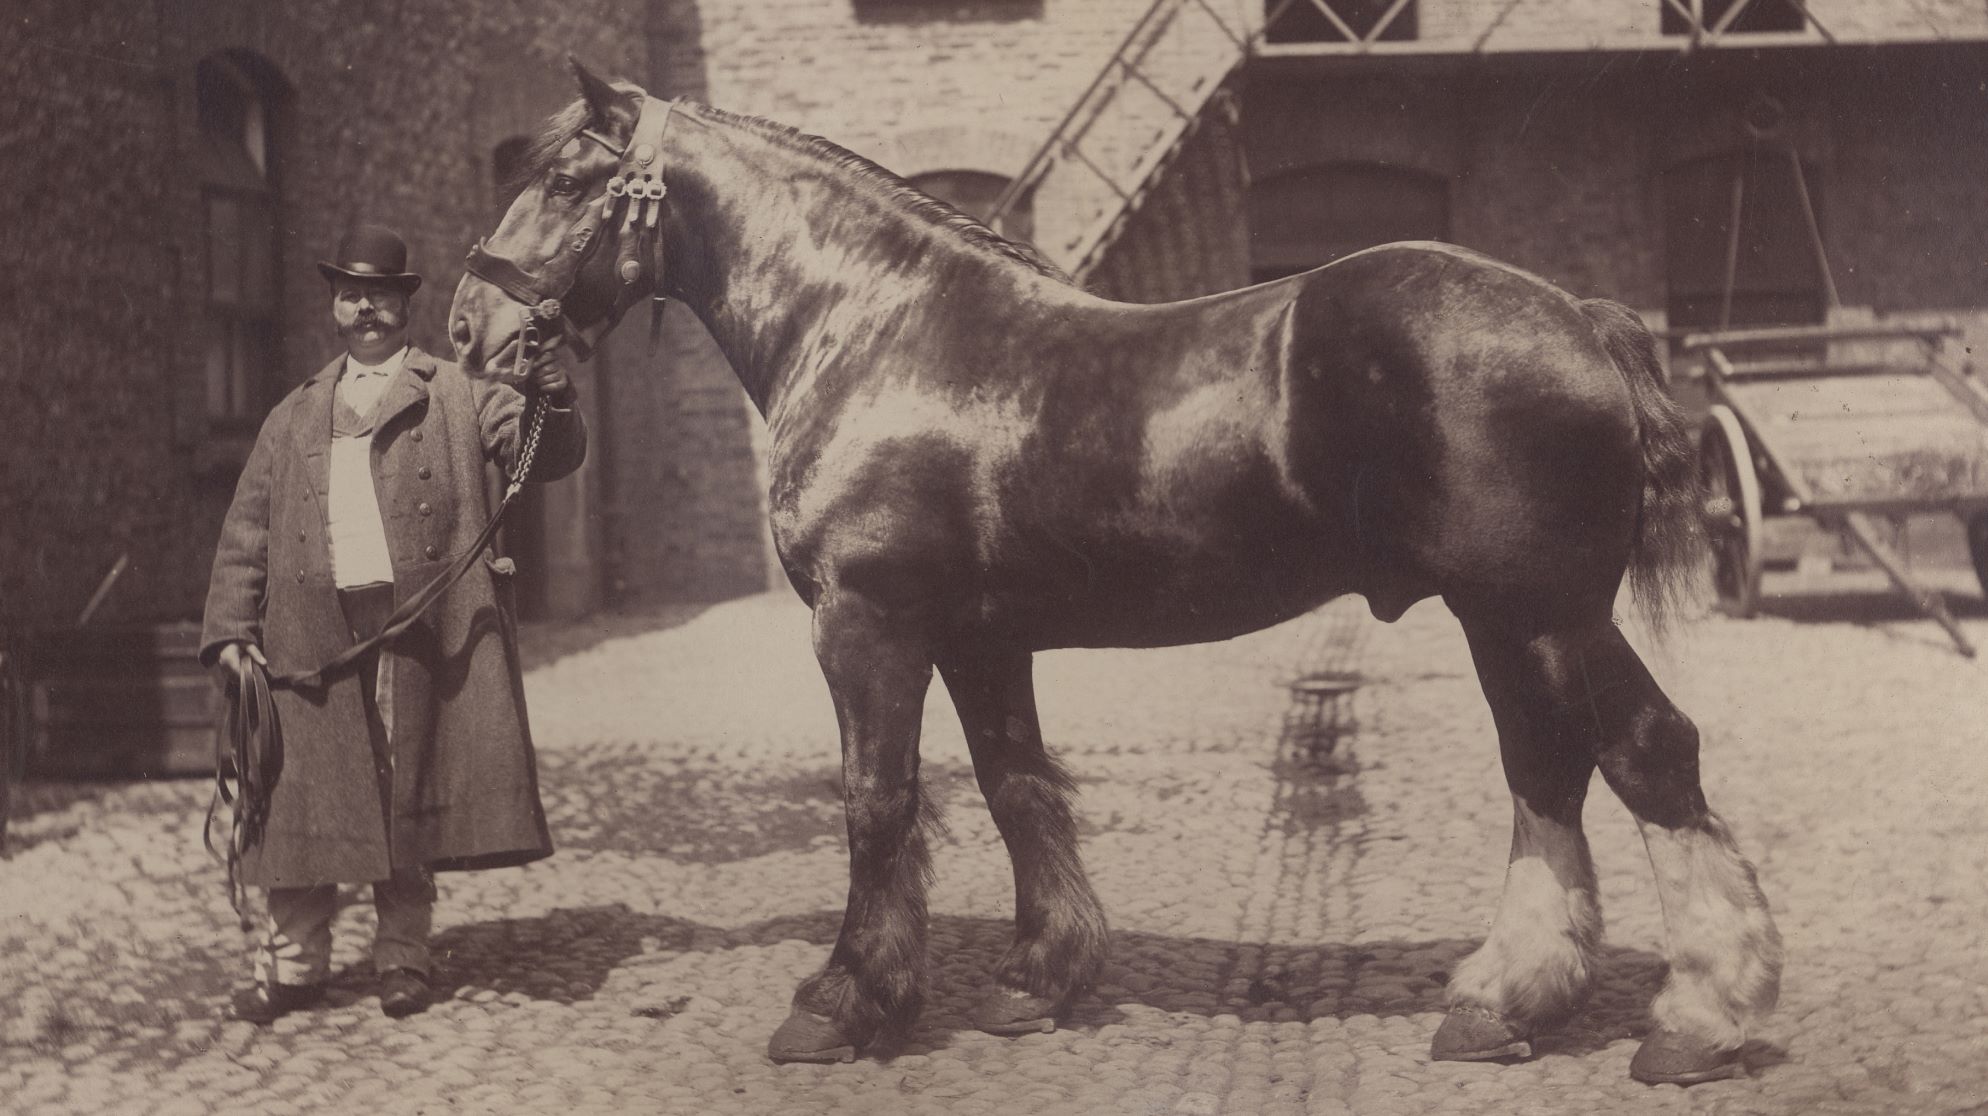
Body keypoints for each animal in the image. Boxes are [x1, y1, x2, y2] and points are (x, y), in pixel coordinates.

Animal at [448, 62, 1782, 1086]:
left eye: (563, 180)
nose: (470, 329)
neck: (876, 330)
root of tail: (1578, 319)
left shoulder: (866, 620)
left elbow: (876, 799)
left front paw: (842, 1001)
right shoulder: (980, 637)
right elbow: (1016, 788)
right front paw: (1038, 981)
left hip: (1540, 613)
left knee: (1647, 756)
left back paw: (1695, 1023)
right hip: (1499, 622)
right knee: (1545, 773)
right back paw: (1503, 1004)